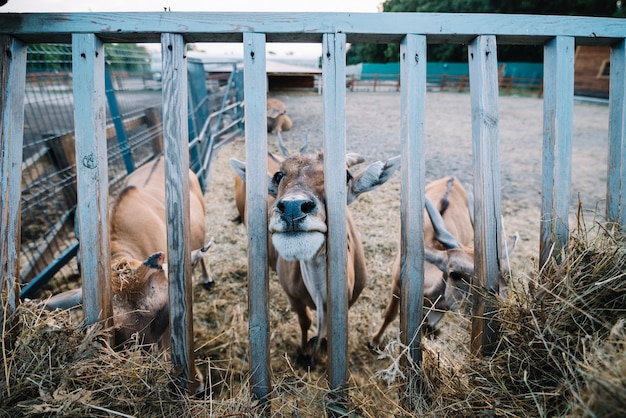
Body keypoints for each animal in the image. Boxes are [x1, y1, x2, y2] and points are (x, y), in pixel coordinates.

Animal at [230, 149, 400, 366]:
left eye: (346, 176)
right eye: (279, 175)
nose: (293, 208)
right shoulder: (293, 296)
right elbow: (305, 321)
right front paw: (304, 353)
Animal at [368, 175, 516, 348]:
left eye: (507, 275)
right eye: (455, 274)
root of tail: (452, 178)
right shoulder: (397, 285)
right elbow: (389, 314)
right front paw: (374, 342)